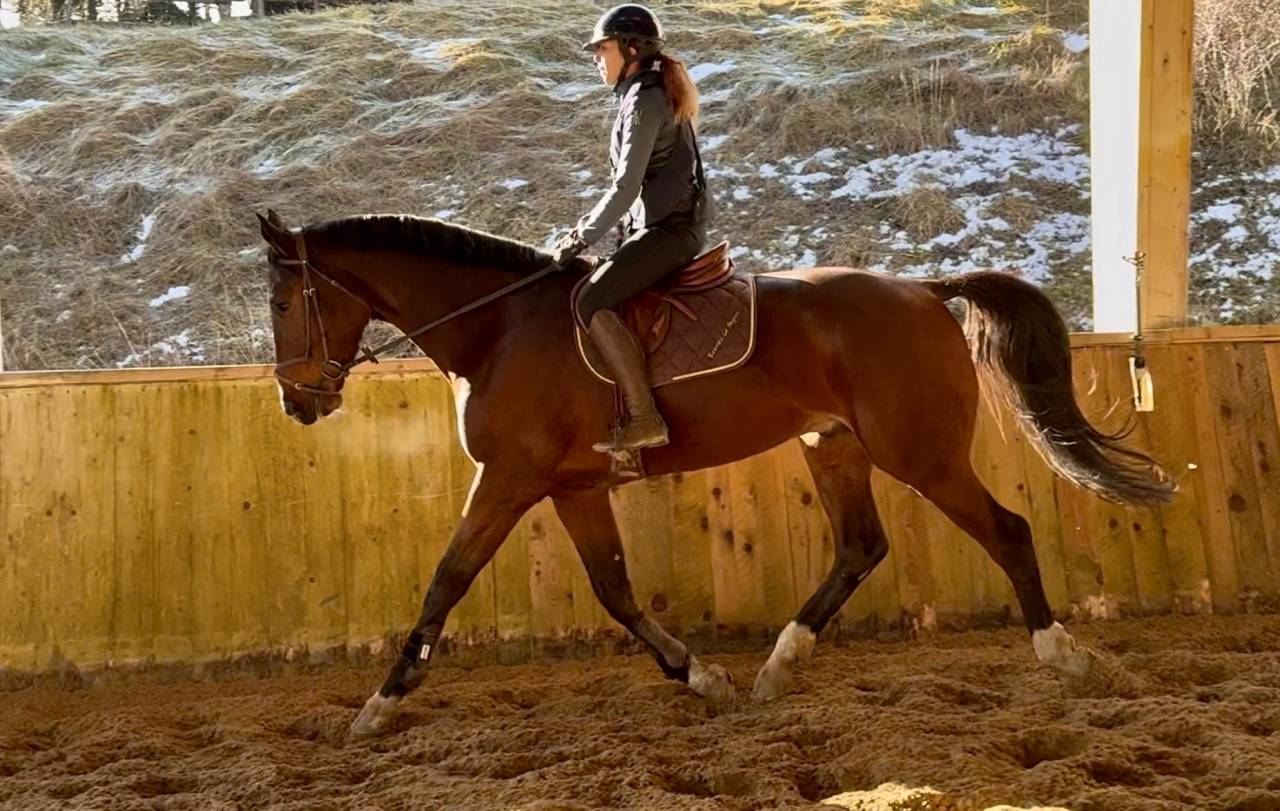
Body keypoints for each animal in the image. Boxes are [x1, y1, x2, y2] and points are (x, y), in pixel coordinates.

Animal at [255, 209, 1173, 737]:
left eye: (281, 302)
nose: (298, 402)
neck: (498, 328)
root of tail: (922, 288)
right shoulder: (573, 488)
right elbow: (616, 590)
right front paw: (700, 677)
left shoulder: (512, 479)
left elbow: (447, 576)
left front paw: (380, 703)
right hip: (834, 445)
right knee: (860, 546)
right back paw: (778, 665)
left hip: (922, 453)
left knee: (1006, 530)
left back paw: (1061, 655)